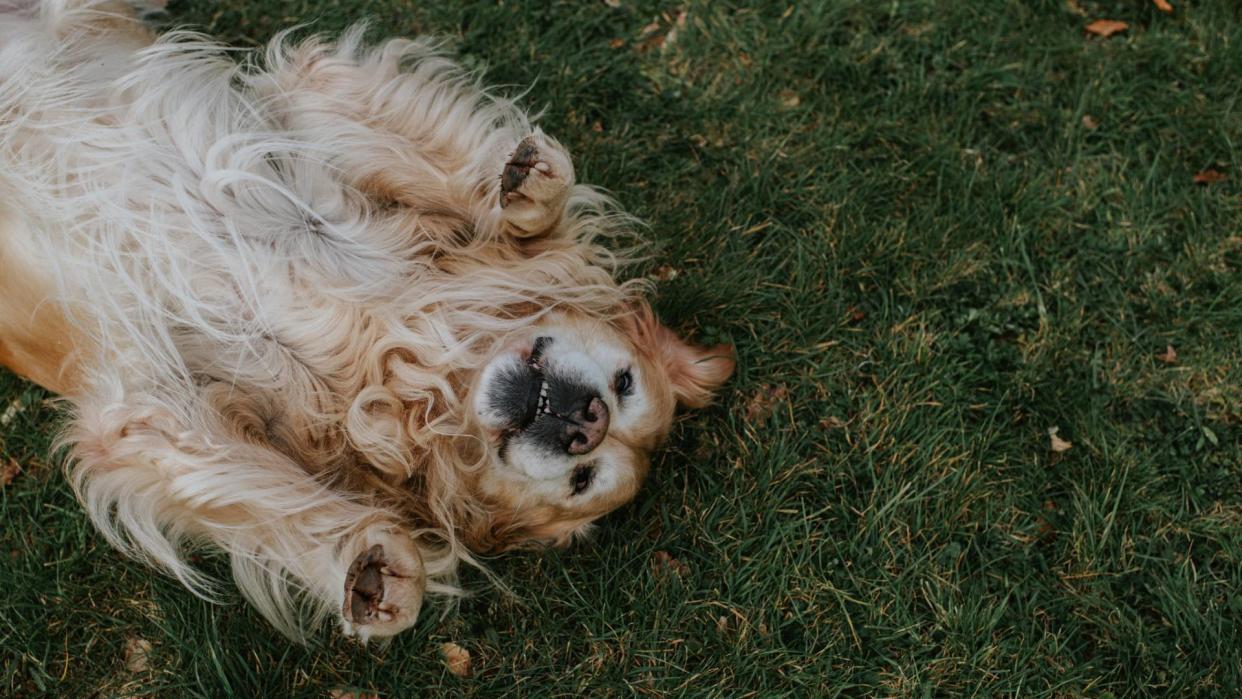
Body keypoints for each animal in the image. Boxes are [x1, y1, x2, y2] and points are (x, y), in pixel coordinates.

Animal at [0, 1, 735, 640]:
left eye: (585, 482)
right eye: (625, 382)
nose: (586, 421)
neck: (391, 340)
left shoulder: (145, 411)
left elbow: (253, 488)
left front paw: (367, 559)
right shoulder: (306, 99)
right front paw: (521, 184)